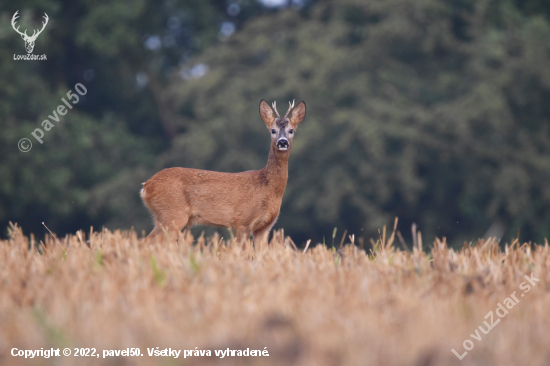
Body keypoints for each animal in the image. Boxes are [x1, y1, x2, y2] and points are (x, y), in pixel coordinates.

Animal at [141, 99, 306, 246]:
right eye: (273, 130)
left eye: (291, 130)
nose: (282, 142)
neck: (268, 188)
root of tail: (145, 187)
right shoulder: (242, 221)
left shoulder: (265, 227)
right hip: (173, 214)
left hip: (162, 217)